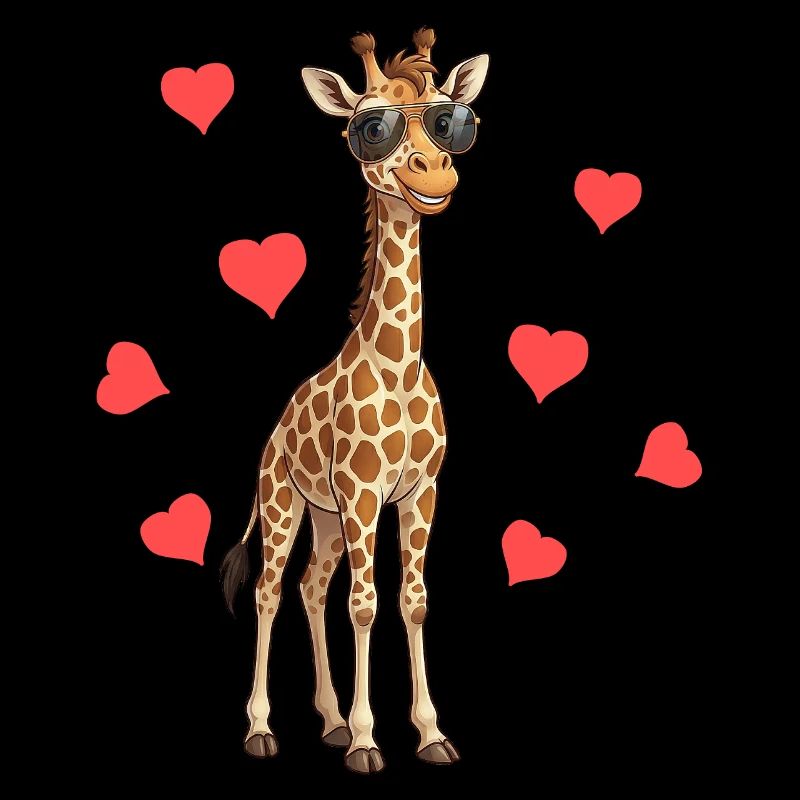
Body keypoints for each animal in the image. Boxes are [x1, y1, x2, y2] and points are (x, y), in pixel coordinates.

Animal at [220, 28, 488, 774]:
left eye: (452, 121)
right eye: (371, 128)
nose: (436, 176)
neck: (398, 366)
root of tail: (276, 426)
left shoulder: (421, 490)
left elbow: (413, 601)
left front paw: (430, 733)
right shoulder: (365, 492)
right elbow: (365, 605)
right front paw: (371, 742)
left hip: (326, 515)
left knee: (312, 586)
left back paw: (332, 720)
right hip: (285, 501)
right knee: (272, 589)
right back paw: (263, 729)